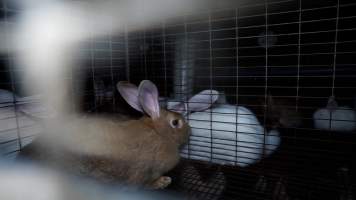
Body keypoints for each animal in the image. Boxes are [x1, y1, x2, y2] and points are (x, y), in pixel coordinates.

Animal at [18, 80, 209, 189]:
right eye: (176, 122)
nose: (190, 131)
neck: (158, 133)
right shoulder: (144, 171)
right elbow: (146, 183)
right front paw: (163, 182)